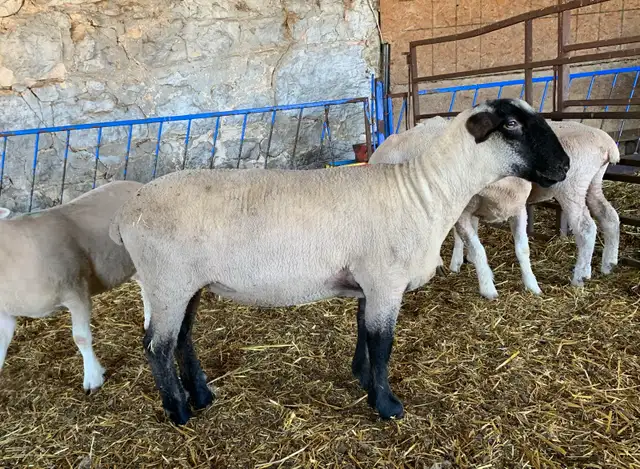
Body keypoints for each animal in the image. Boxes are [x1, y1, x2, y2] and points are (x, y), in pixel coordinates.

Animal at [109, 98, 569, 426]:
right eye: (511, 125)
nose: (564, 165)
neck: (425, 190)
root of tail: (127, 214)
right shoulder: (385, 280)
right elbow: (383, 343)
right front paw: (386, 405)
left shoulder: (369, 280)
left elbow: (364, 333)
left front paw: (362, 379)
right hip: (166, 281)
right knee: (156, 346)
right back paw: (179, 412)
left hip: (185, 284)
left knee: (181, 338)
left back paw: (202, 396)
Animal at [370, 117, 620, 298]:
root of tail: (607, 143)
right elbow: (473, 242)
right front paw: (478, 276)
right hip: (590, 184)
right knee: (609, 217)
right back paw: (605, 265)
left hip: (573, 185)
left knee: (586, 228)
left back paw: (580, 275)